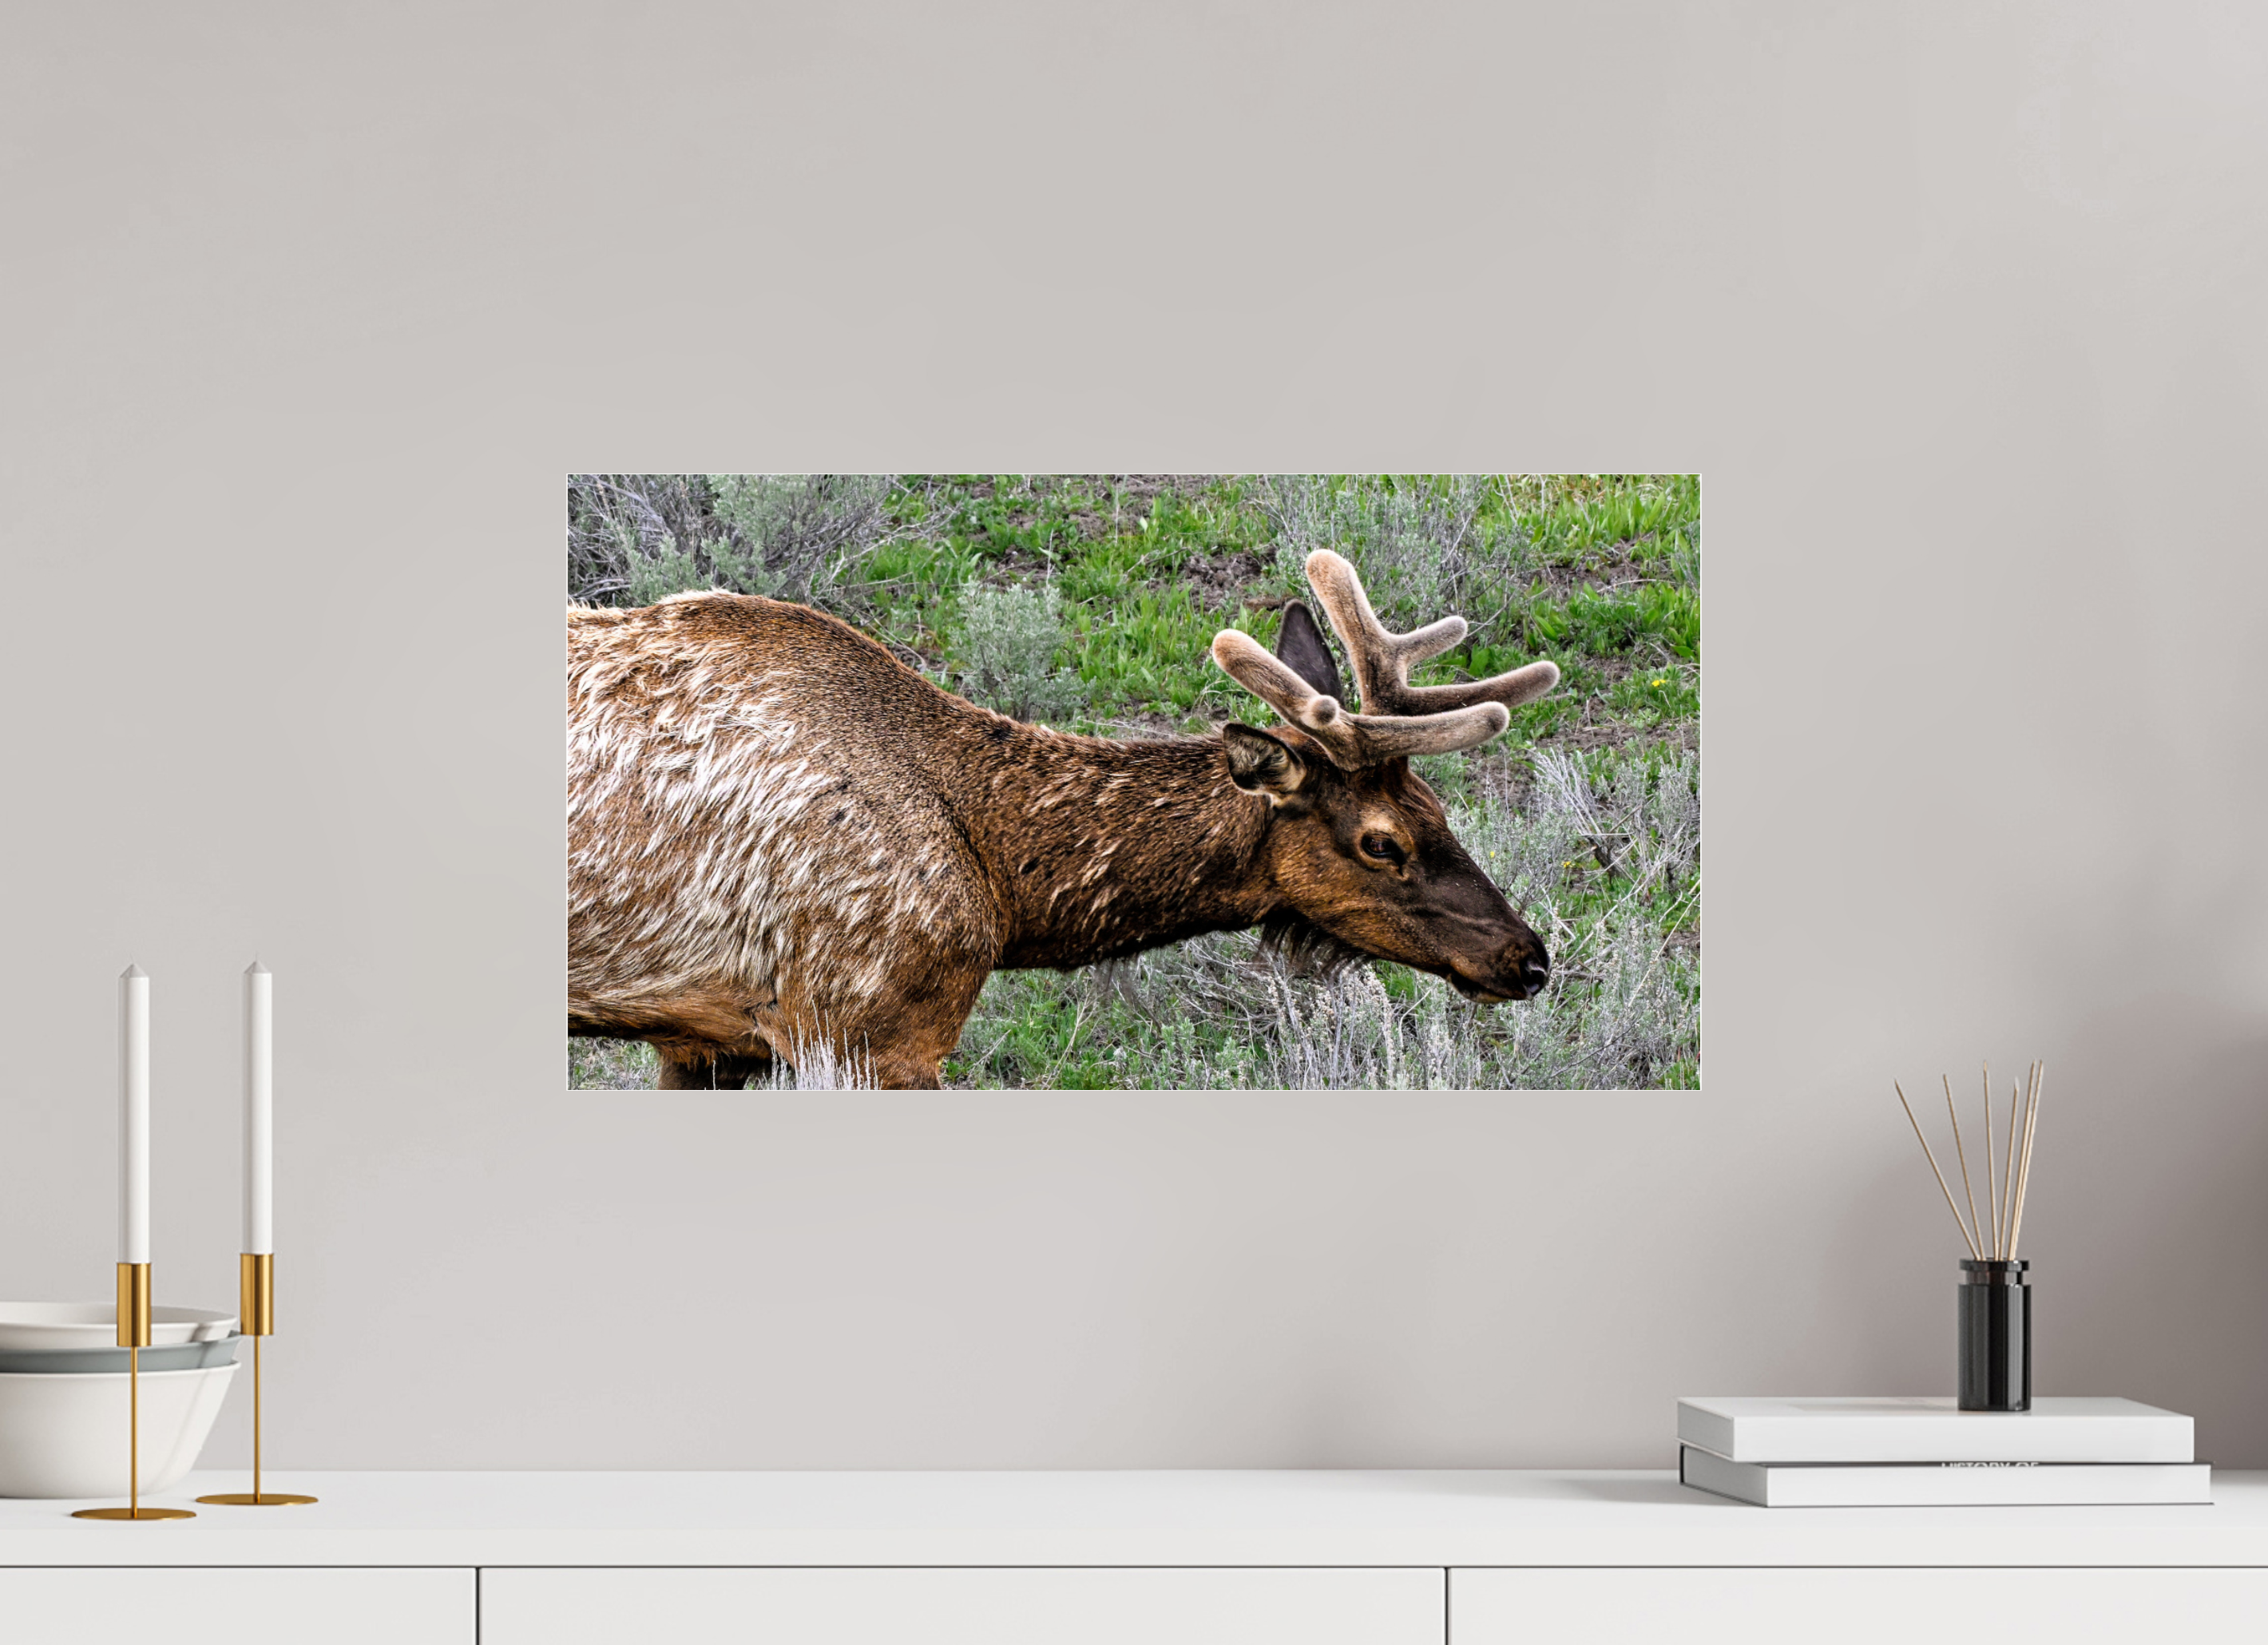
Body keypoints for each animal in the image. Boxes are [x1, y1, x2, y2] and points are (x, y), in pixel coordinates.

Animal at [568, 550, 1560, 1089]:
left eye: (1438, 807)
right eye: (1380, 841)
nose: (1529, 958)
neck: (1006, 894)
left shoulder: (707, 1037)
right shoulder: (866, 1027)